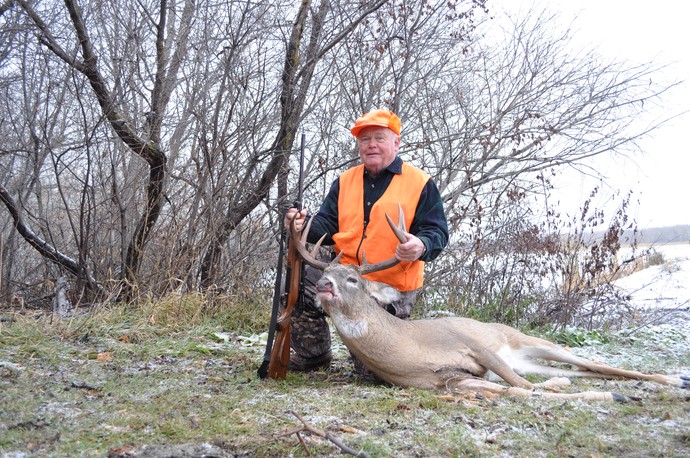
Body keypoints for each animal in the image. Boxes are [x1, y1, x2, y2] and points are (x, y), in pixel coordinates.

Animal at [286, 207, 688, 400]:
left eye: (353, 279)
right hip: (528, 357)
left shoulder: (473, 345)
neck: (410, 348)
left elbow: (522, 387)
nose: (322, 283)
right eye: (329, 273)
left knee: (593, 363)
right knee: (575, 371)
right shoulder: (448, 381)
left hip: (525, 340)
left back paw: (672, 377)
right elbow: (515, 388)